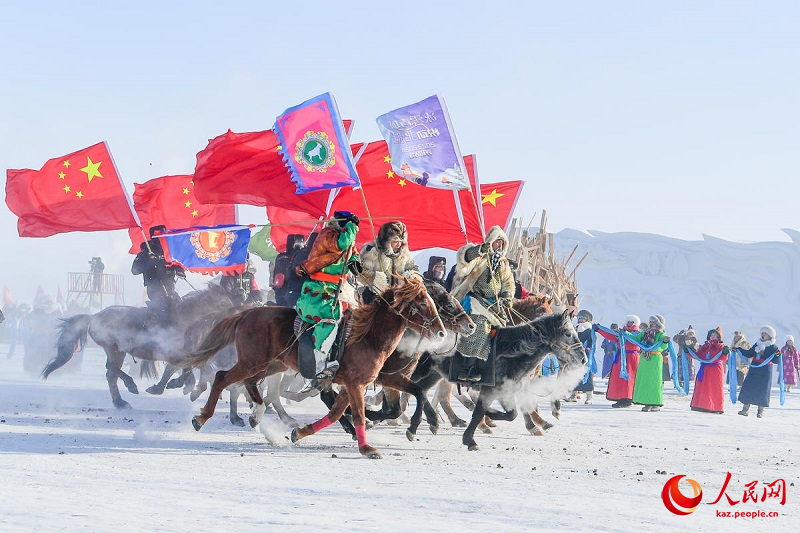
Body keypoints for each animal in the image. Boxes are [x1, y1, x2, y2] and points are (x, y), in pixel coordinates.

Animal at [41, 286, 234, 408]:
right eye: (223, 303)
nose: (236, 316)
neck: (187, 319)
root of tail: (94, 316)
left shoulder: (189, 354)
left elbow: (194, 370)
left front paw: (187, 388)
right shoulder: (177, 353)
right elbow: (185, 370)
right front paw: (170, 387)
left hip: (115, 351)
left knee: (110, 370)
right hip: (115, 350)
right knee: (111, 373)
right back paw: (122, 399)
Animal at [182, 278, 446, 458]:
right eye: (423, 303)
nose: (441, 332)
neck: (369, 337)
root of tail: (247, 313)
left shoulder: (365, 382)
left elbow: (337, 413)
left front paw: (300, 433)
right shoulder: (357, 384)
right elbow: (358, 414)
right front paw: (367, 447)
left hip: (272, 363)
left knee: (250, 384)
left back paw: (257, 416)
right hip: (252, 361)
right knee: (222, 378)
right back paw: (202, 418)